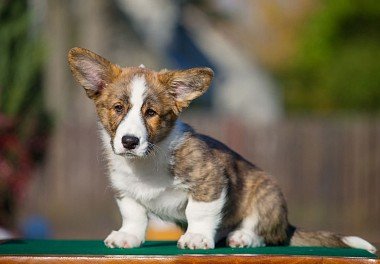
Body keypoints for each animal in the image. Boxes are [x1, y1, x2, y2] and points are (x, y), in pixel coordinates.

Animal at [68, 47, 378, 254]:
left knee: (265, 233)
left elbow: (199, 212)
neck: (147, 161)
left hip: (267, 194)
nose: (130, 141)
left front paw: (196, 238)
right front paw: (128, 237)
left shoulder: (211, 181)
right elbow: (134, 215)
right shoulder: (125, 190)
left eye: (151, 113)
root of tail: (287, 224)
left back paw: (242, 237)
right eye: (118, 108)